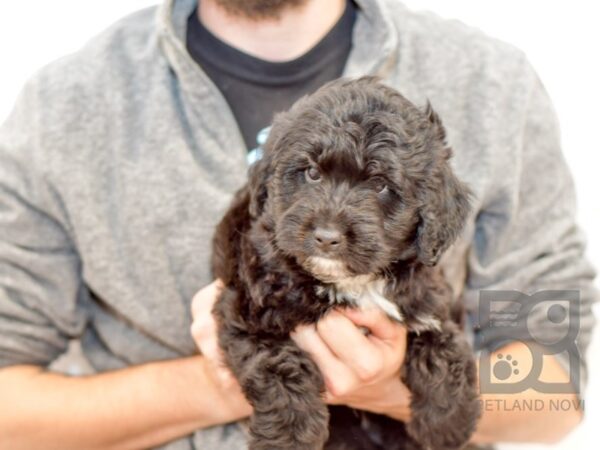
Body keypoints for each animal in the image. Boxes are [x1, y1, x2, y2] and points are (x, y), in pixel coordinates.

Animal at [213, 77, 480, 450]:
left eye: (380, 184)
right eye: (312, 173)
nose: (327, 237)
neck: (350, 283)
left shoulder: (426, 300)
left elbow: (444, 347)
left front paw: (448, 422)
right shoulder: (247, 310)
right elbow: (279, 369)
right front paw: (288, 437)